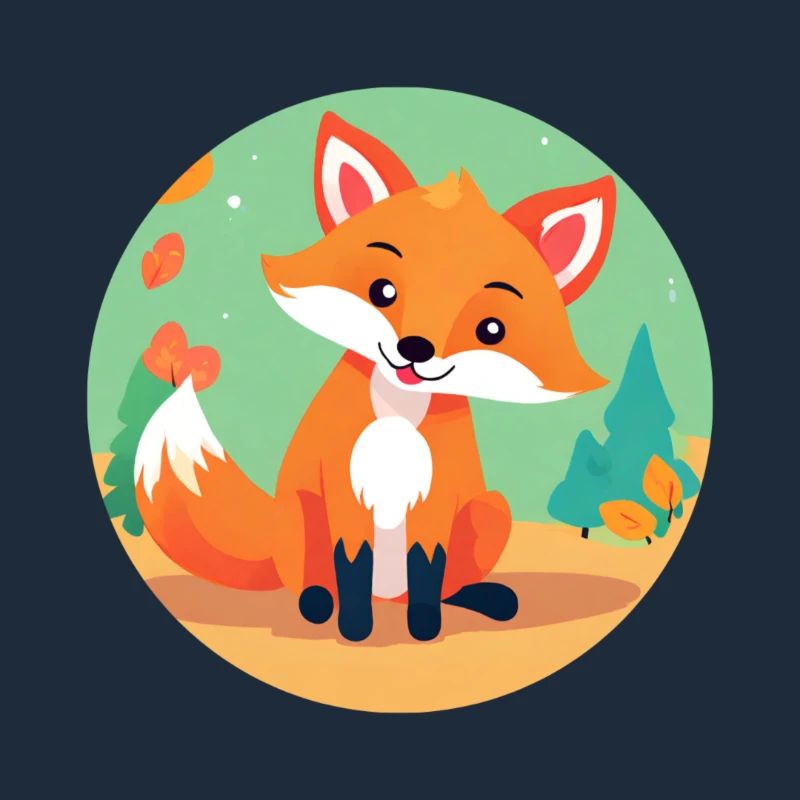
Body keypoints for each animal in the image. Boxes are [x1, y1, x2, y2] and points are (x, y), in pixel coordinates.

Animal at [134, 112, 616, 642]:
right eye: (381, 290)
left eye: (491, 330)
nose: (415, 350)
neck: (397, 420)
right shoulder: (345, 492)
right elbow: (352, 563)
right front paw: (355, 628)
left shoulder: (436, 500)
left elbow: (428, 569)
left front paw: (424, 628)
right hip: (300, 512)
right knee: (311, 580)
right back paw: (317, 604)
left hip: (491, 509)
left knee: (447, 582)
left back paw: (481, 598)